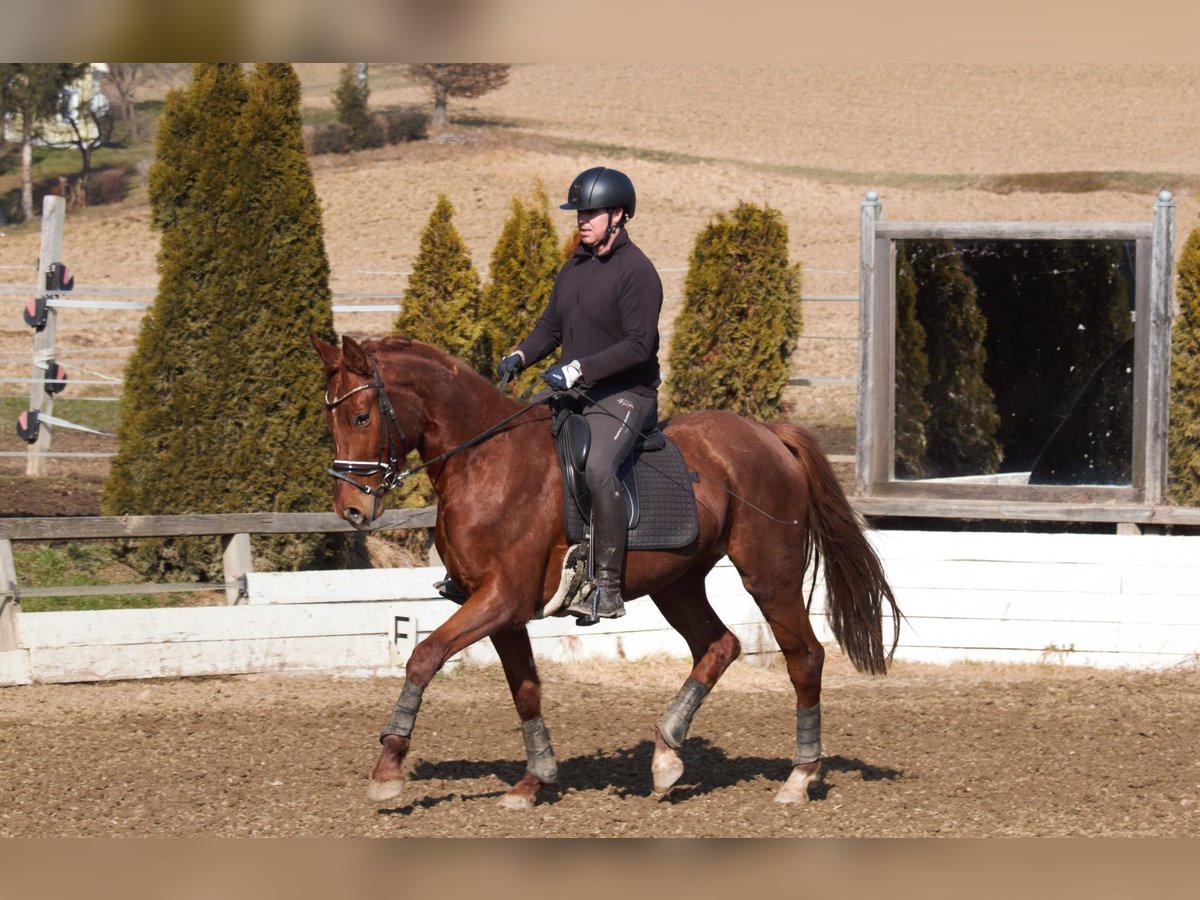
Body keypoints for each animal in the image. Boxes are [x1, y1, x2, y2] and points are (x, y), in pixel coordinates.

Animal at [312, 336, 902, 811]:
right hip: (677, 584)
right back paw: (666, 756)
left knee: (804, 656)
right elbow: (525, 690)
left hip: (769, 575)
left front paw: (388, 769)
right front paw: (533, 781)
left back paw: (799, 778)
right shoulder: (501, 610)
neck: (483, 461)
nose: (352, 510)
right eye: (331, 419)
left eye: (361, 418)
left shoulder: (500, 599)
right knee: (719, 646)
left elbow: (424, 655)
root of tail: (768, 435)